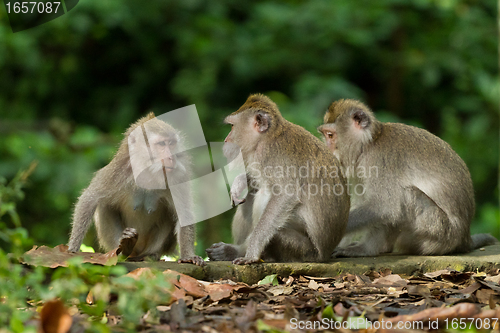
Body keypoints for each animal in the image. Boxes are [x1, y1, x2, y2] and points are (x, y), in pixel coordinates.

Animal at [68, 111, 205, 264]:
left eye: (171, 143)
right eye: (162, 144)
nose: (171, 157)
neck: (148, 170)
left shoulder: (177, 175)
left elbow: (183, 212)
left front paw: (188, 256)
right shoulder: (119, 171)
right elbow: (90, 198)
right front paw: (72, 248)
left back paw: (150, 254)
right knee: (104, 205)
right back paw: (124, 248)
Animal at [205, 93, 350, 264]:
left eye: (233, 126)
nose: (226, 140)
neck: (268, 136)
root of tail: (325, 254)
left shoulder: (270, 154)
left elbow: (286, 195)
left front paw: (251, 255)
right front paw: (239, 183)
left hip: (304, 250)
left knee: (265, 196)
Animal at [318, 98, 498, 256]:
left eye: (330, 135)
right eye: (325, 135)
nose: (327, 150)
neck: (369, 143)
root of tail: (464, 238)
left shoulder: (380, 162)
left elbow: (384, 206)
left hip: (439, 234)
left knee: (406, 195)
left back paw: (370, 249)